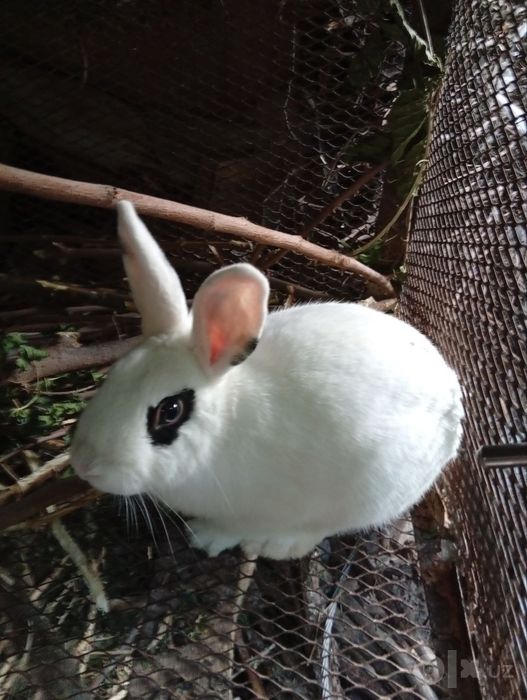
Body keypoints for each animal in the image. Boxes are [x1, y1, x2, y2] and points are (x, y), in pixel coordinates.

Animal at [71, 201, 464, 560]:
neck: (224, 427)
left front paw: (206, 538)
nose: (84, 466)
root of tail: (453, 402)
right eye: (115, 374)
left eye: (170, 411)